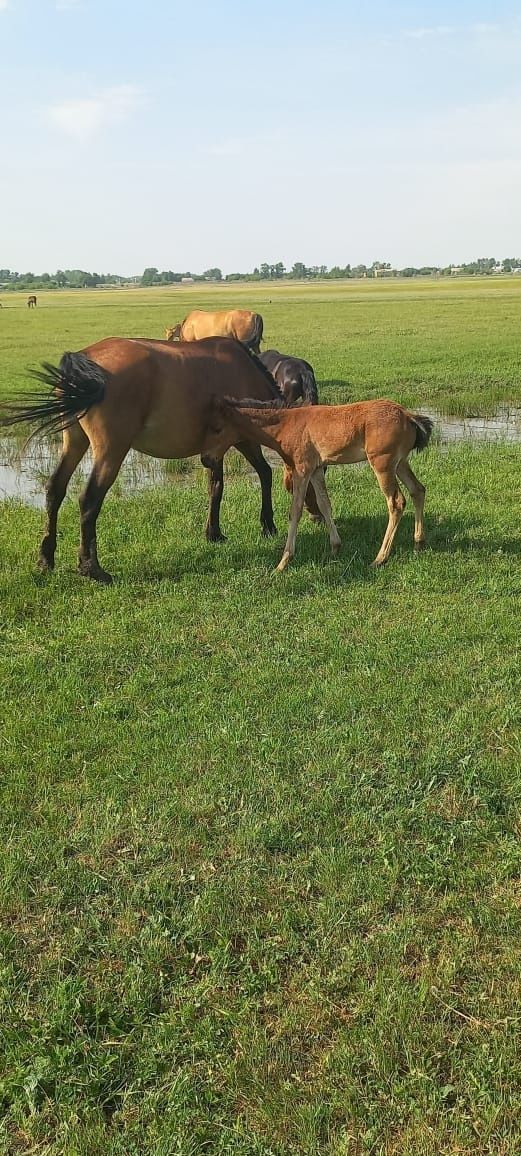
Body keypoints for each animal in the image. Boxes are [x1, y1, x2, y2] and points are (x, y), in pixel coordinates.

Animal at [1, 337, 318, 582]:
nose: (316, 514)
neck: (244, 372)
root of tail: (84, 360)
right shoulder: (242, 440)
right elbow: (264, 473)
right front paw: (268, 525)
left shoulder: (214, 450)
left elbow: (215, 487)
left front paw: (213, 532)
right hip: (111, 450)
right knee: (89, 500)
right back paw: (92, 568)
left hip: (75, 441)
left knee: (55, 489)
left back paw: (46, 558)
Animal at [212, 399, 436, 575]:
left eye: (217, 428)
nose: (208, 459)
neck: (287, 423)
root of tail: (408, 416)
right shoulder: (317, 470)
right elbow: (325, 504)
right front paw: (335, 548)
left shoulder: (302, 470)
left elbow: (295, 511)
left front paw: (283, 562)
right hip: (400, 463)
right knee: (418, 490)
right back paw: (419, 543)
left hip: (383, 464)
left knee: (396, 502)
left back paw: (380, 558)